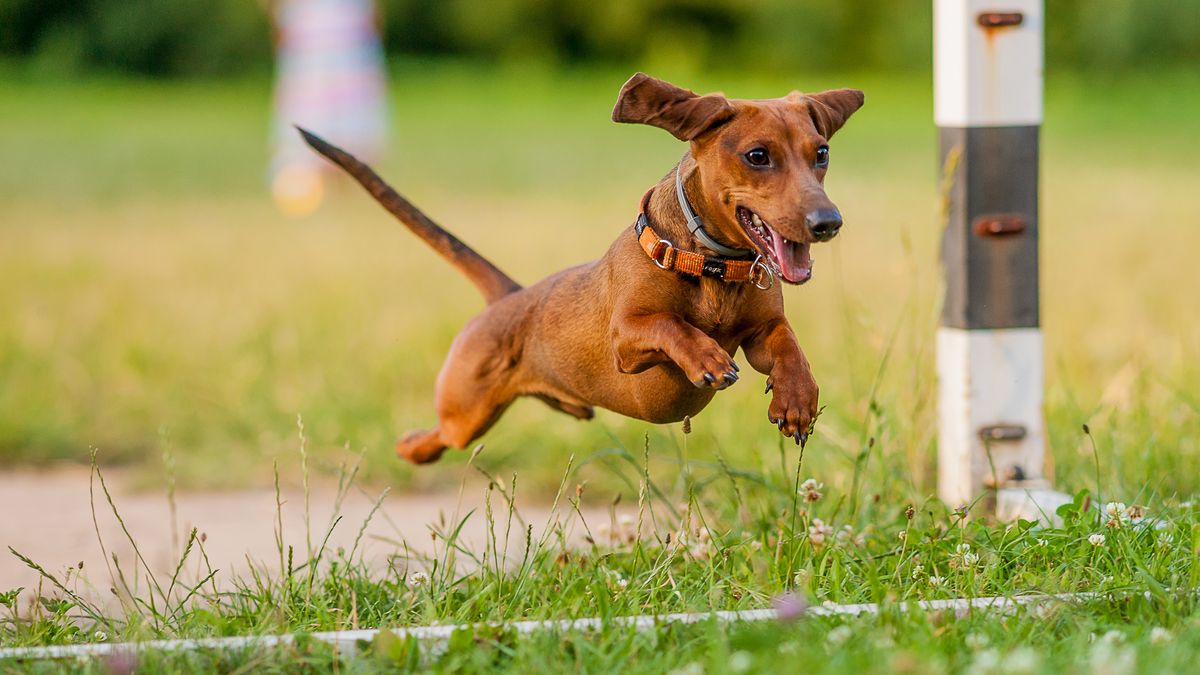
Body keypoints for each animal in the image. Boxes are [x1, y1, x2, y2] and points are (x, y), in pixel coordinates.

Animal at [300, 73, 864, 461]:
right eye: (757, 156)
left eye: (821, 153)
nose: (828, 223)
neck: (711, 266)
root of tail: (511, 296)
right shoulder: (627, 341)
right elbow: (669, 325)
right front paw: (704, 354)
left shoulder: (762, 332)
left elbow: (786, 344)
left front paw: (798, 398)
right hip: (463, 412)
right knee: (439, 436)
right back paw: (411, 445)